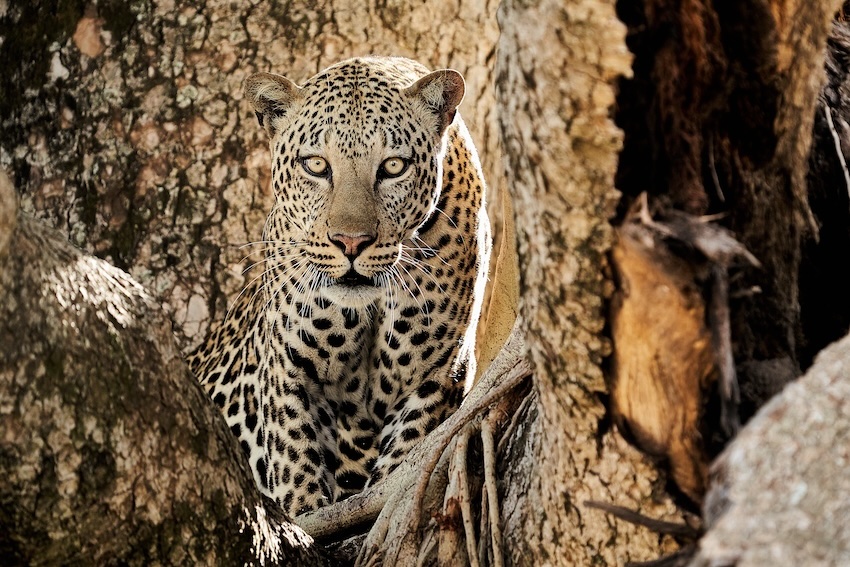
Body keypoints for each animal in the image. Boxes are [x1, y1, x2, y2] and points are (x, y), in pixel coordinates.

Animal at [186, 57, 490, 520]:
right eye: (316, 165)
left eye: (393, 167)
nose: (350, 242)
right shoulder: (290, 368)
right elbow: (297, 467)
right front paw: (305, 512)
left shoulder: (439, 374)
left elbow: (403, 456)